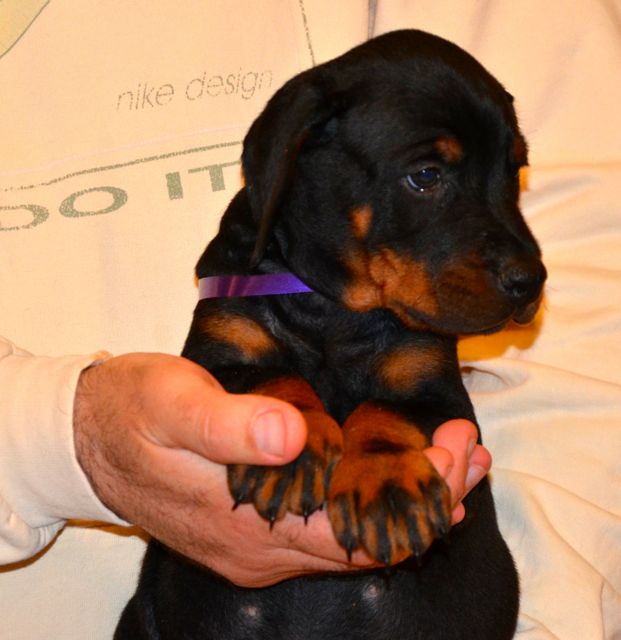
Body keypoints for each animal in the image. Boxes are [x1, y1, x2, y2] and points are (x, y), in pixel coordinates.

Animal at [116, 30, 546, 639]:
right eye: (425, 176)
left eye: (514, 171)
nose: (531, 282)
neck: (337, 308)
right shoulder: (219, 354)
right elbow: (276, 378)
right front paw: (291, 448)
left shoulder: (438, 392)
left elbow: (383, 411)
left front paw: (386, 487)